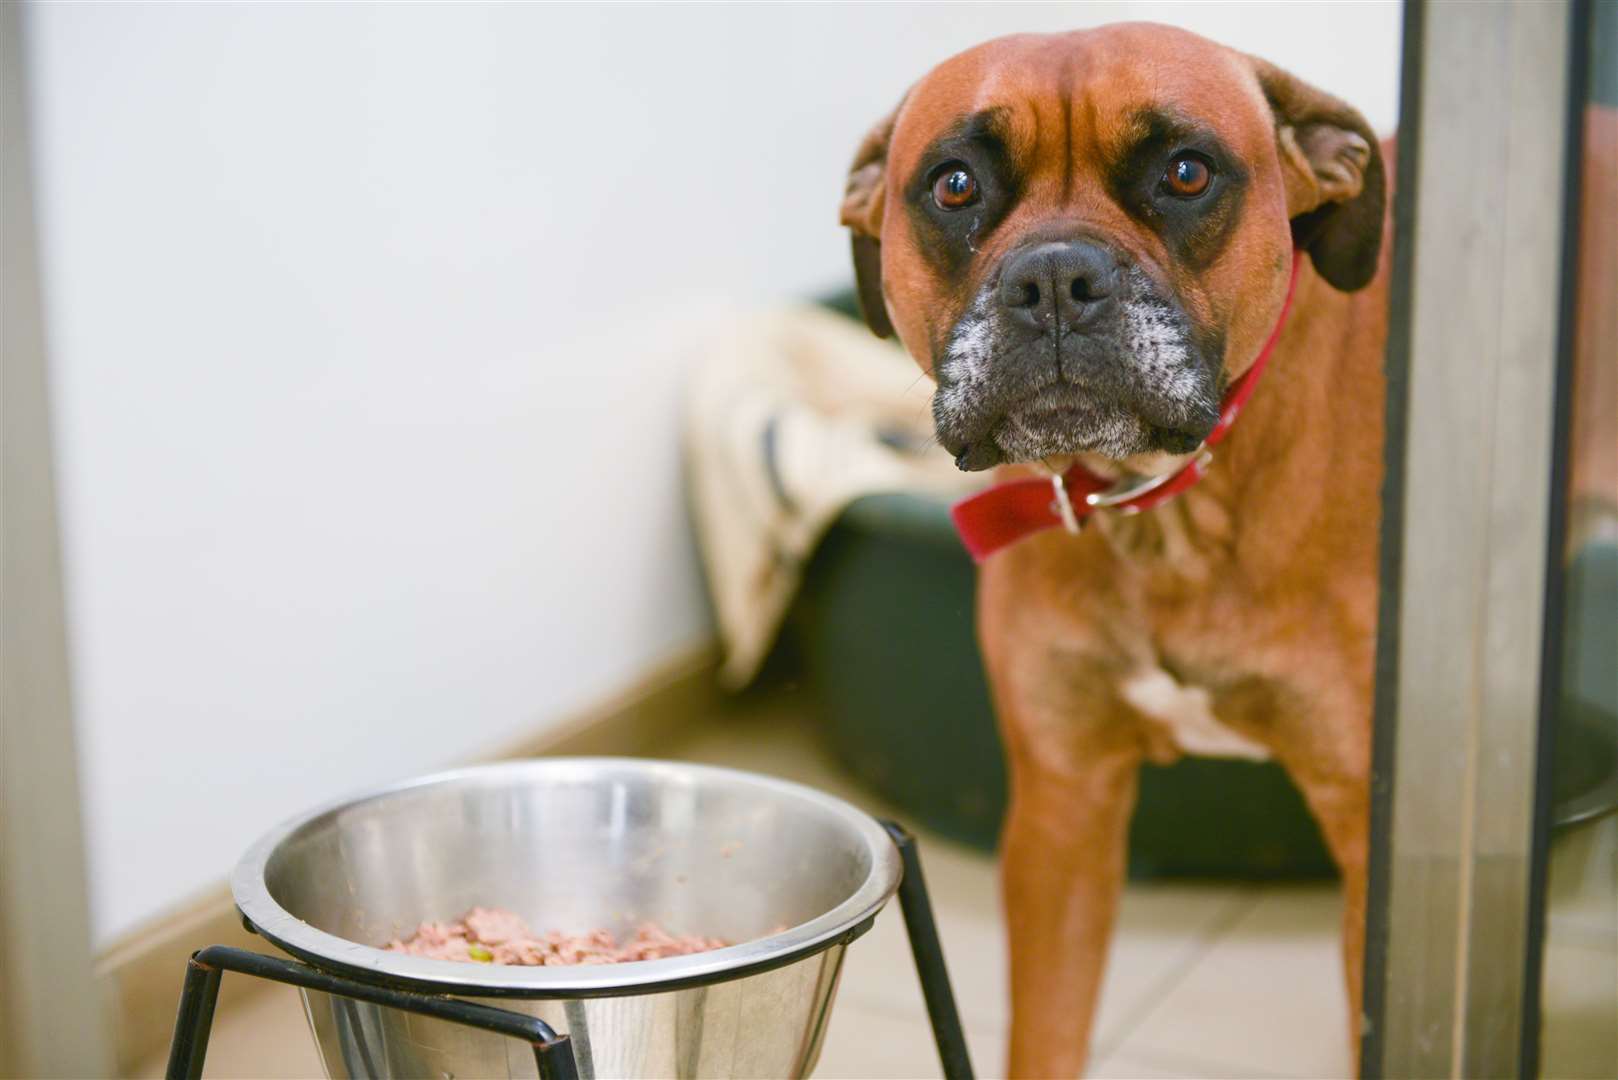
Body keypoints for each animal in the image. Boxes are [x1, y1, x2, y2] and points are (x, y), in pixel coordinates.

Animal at [841, 25, 1385, 1080]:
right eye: (955, 185)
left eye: (1186, 172)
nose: (1055, 281)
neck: (1161, 505)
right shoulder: (1064, 819)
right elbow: (1046, 1034)